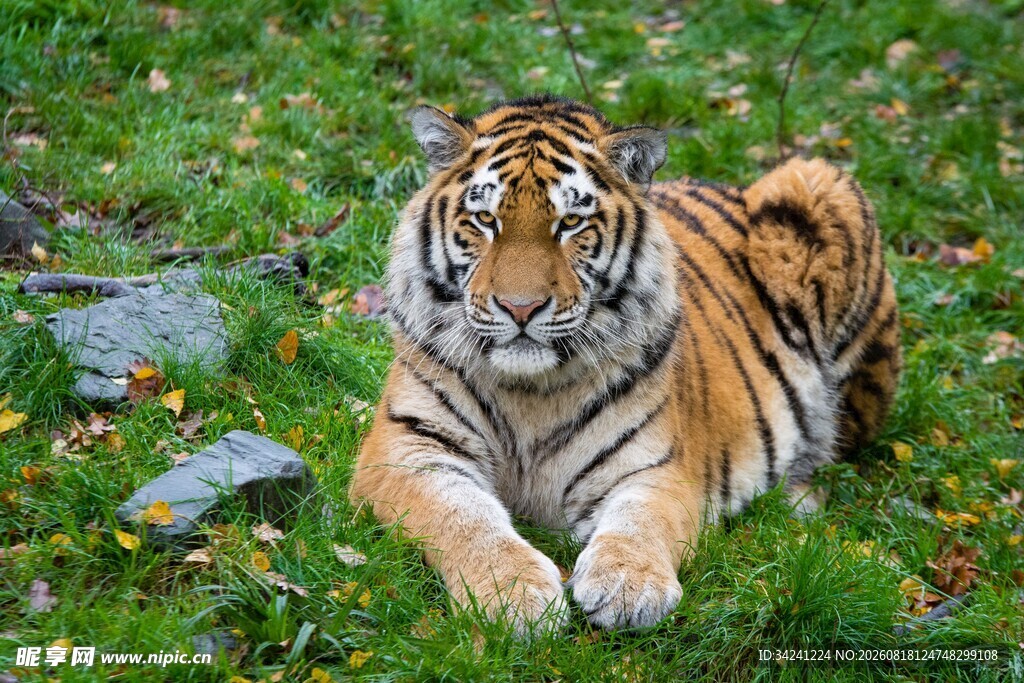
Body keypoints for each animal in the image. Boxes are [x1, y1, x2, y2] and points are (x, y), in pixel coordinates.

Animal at [350, 94, 900, 634]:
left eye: (570, 223)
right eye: (486, 220)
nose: (520, 308)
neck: (529, 393)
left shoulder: (657, 467)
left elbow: (641, 521)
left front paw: (629, 588)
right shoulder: (406, 447)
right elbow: (463, 518)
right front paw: (514, 595)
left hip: (818, 183)